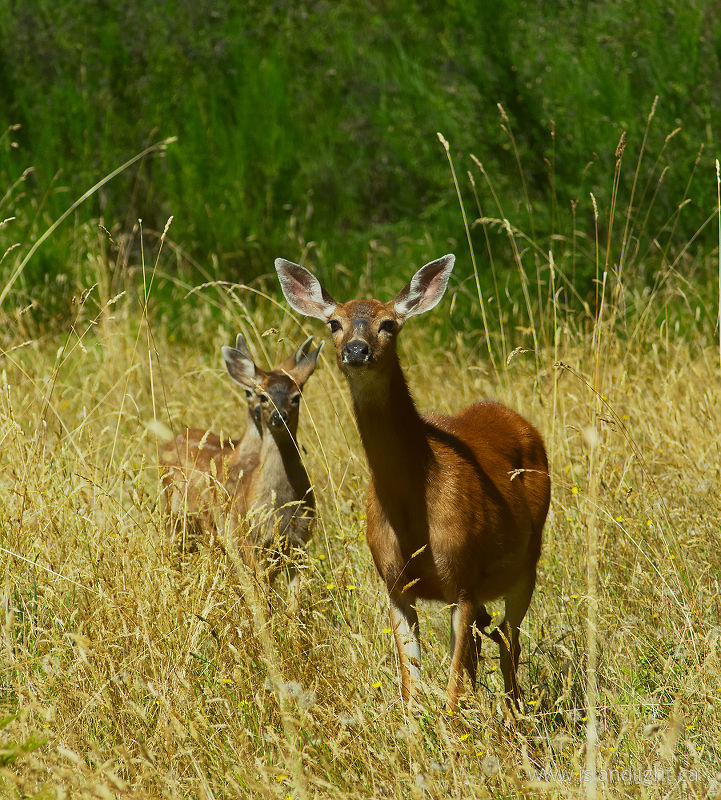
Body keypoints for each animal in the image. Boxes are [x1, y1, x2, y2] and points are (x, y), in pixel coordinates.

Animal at [161, 335, 323, 596]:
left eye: (296, 397)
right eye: (262, 395)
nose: (278, 417)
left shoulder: (299, 542)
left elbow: (293, 598)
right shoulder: (248, 539)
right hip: (176, 517)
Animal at [275, 254, 551, 711]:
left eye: (389, 323)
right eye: (334, 323)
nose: (356, 350)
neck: (414, 512)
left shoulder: (464, 578)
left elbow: (452, 693)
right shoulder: (394, 583)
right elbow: (411, 688)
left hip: (528, 563)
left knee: (509, 646)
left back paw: (515, 715)